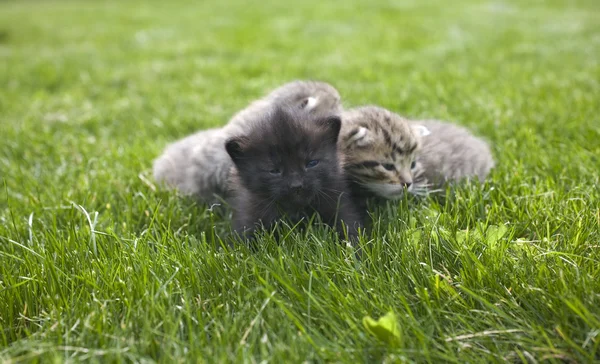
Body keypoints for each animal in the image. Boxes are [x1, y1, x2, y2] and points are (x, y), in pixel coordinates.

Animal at [225, 104, 364, 247]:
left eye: (311, 163)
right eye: (274, 170)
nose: (296, 185)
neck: (296, 211)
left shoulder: (339, 204)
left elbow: (348, 228)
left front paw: (354, 249)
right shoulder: (249, 214)